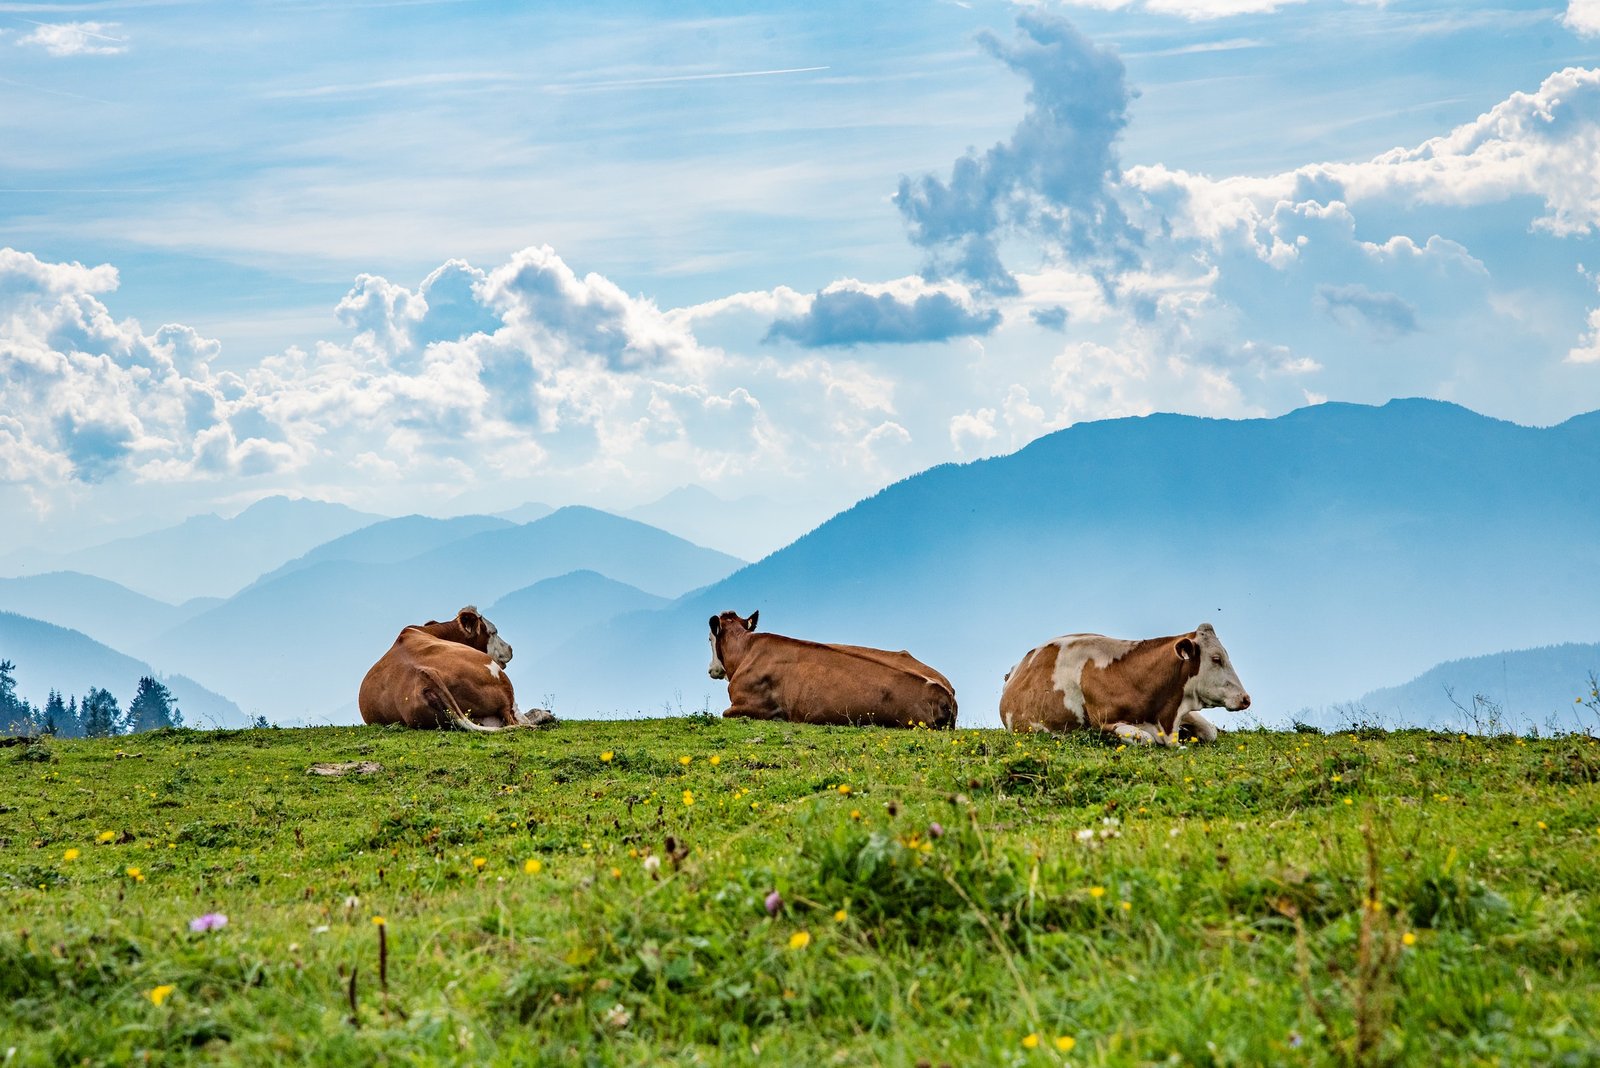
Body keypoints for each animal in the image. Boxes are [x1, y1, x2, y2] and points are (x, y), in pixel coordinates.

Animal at [357, 606, 554, 732]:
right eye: (493, 632)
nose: (510, 648)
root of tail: (426, 675)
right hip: (499, 679)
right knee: (515, 717)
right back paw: (544, 715)